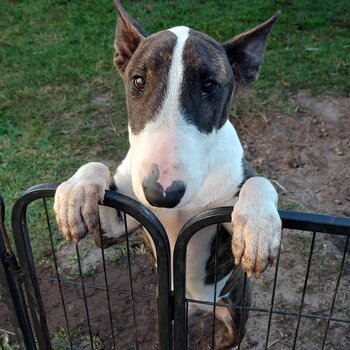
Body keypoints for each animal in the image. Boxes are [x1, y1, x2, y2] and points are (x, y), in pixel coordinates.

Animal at [53, 2, 282, 348]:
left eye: (209, 85)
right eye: (138, 81)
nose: (161, 193)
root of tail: (197, 306)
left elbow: (259, 180)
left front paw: (258, 227)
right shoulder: (118, 224)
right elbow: (98, 167)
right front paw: (75, 193)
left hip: (234, 312)